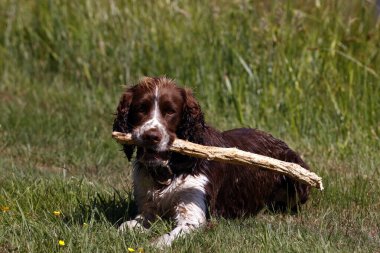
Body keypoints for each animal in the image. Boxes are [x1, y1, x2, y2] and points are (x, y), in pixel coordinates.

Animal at [112, 76, 308, 246]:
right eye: (141, 109)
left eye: (170, 111)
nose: (151, 136)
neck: (169, 169)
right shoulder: (147, 208)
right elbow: (125, 226)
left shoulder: (194, 215)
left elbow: (166, 238)